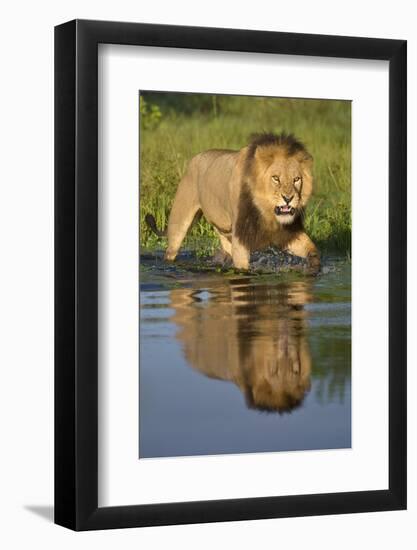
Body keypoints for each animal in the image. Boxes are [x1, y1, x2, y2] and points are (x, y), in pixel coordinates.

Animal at [145, 132, 320, 274]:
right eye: (275, 178)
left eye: (296, 179)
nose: (288, 198)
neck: (266, 211)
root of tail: (195, 157)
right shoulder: (241, 235)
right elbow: (242, 268)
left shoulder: (287, 232)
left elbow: (313, 250)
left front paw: (313, 268)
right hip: (179, 222)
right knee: (171, 251)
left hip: (222, 229)